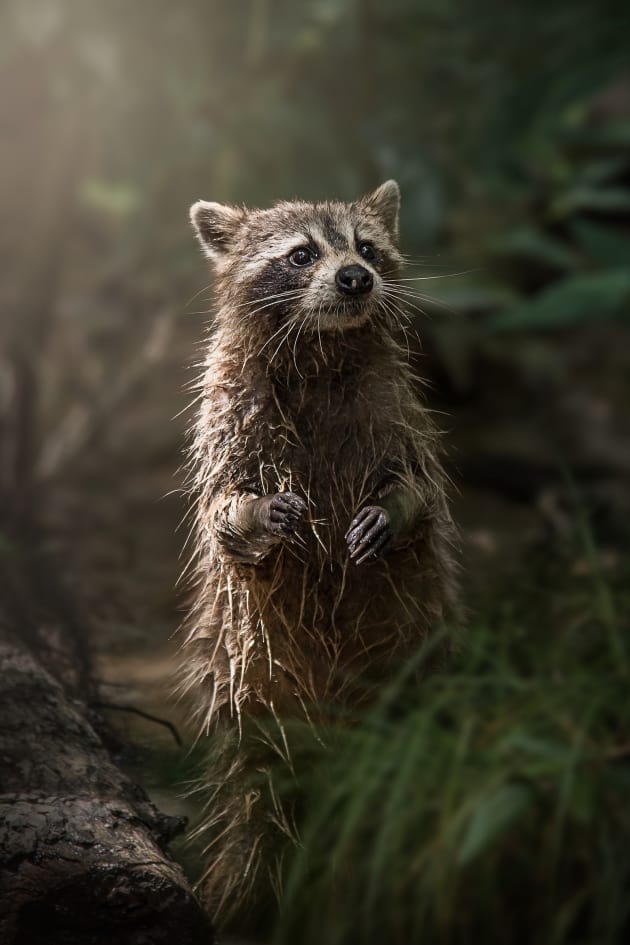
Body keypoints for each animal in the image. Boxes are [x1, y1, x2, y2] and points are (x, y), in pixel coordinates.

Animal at [183, 181, 460, 920]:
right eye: (301, 254)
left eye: (366, 247)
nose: (355, 278)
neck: (321, 350)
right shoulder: (230, 417)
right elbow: (224, 509)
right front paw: (257, 512)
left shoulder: (398, 414)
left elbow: (418, 485)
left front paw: (393, 510)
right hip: (254, 673)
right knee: (260, 780)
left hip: (408, 657)